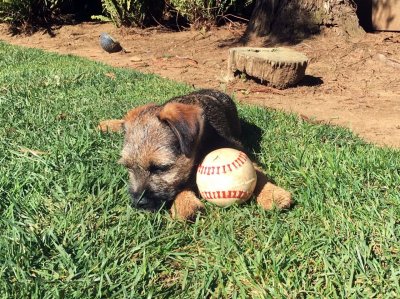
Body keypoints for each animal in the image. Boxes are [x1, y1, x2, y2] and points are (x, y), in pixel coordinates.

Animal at [98, 89, 292, 220]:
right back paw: (109, 124)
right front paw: (186, 204)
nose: (138, 203)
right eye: (127, 167)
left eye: (160, 168)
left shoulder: (238, 149)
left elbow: (258, 174)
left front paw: (273, 195)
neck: (203, 139)